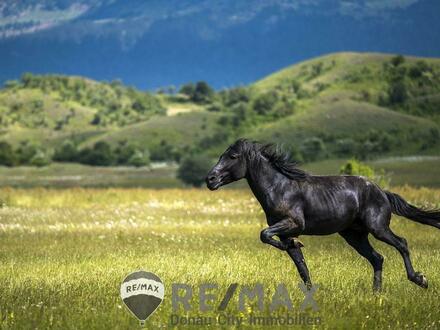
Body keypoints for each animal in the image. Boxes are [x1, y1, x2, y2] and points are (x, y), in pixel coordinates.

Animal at [206, 139, 440, 292]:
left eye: (233, 156)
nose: (210, 179)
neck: (280, 188)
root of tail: (382, 191)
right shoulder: (285, 232)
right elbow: (301, 266)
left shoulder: (293, 224)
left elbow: (264, 234)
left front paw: (297, 244)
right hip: (355, 236)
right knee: (377, 258)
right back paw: (376, 293)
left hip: (378, 228)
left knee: (401, 244)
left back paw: (420, 279)